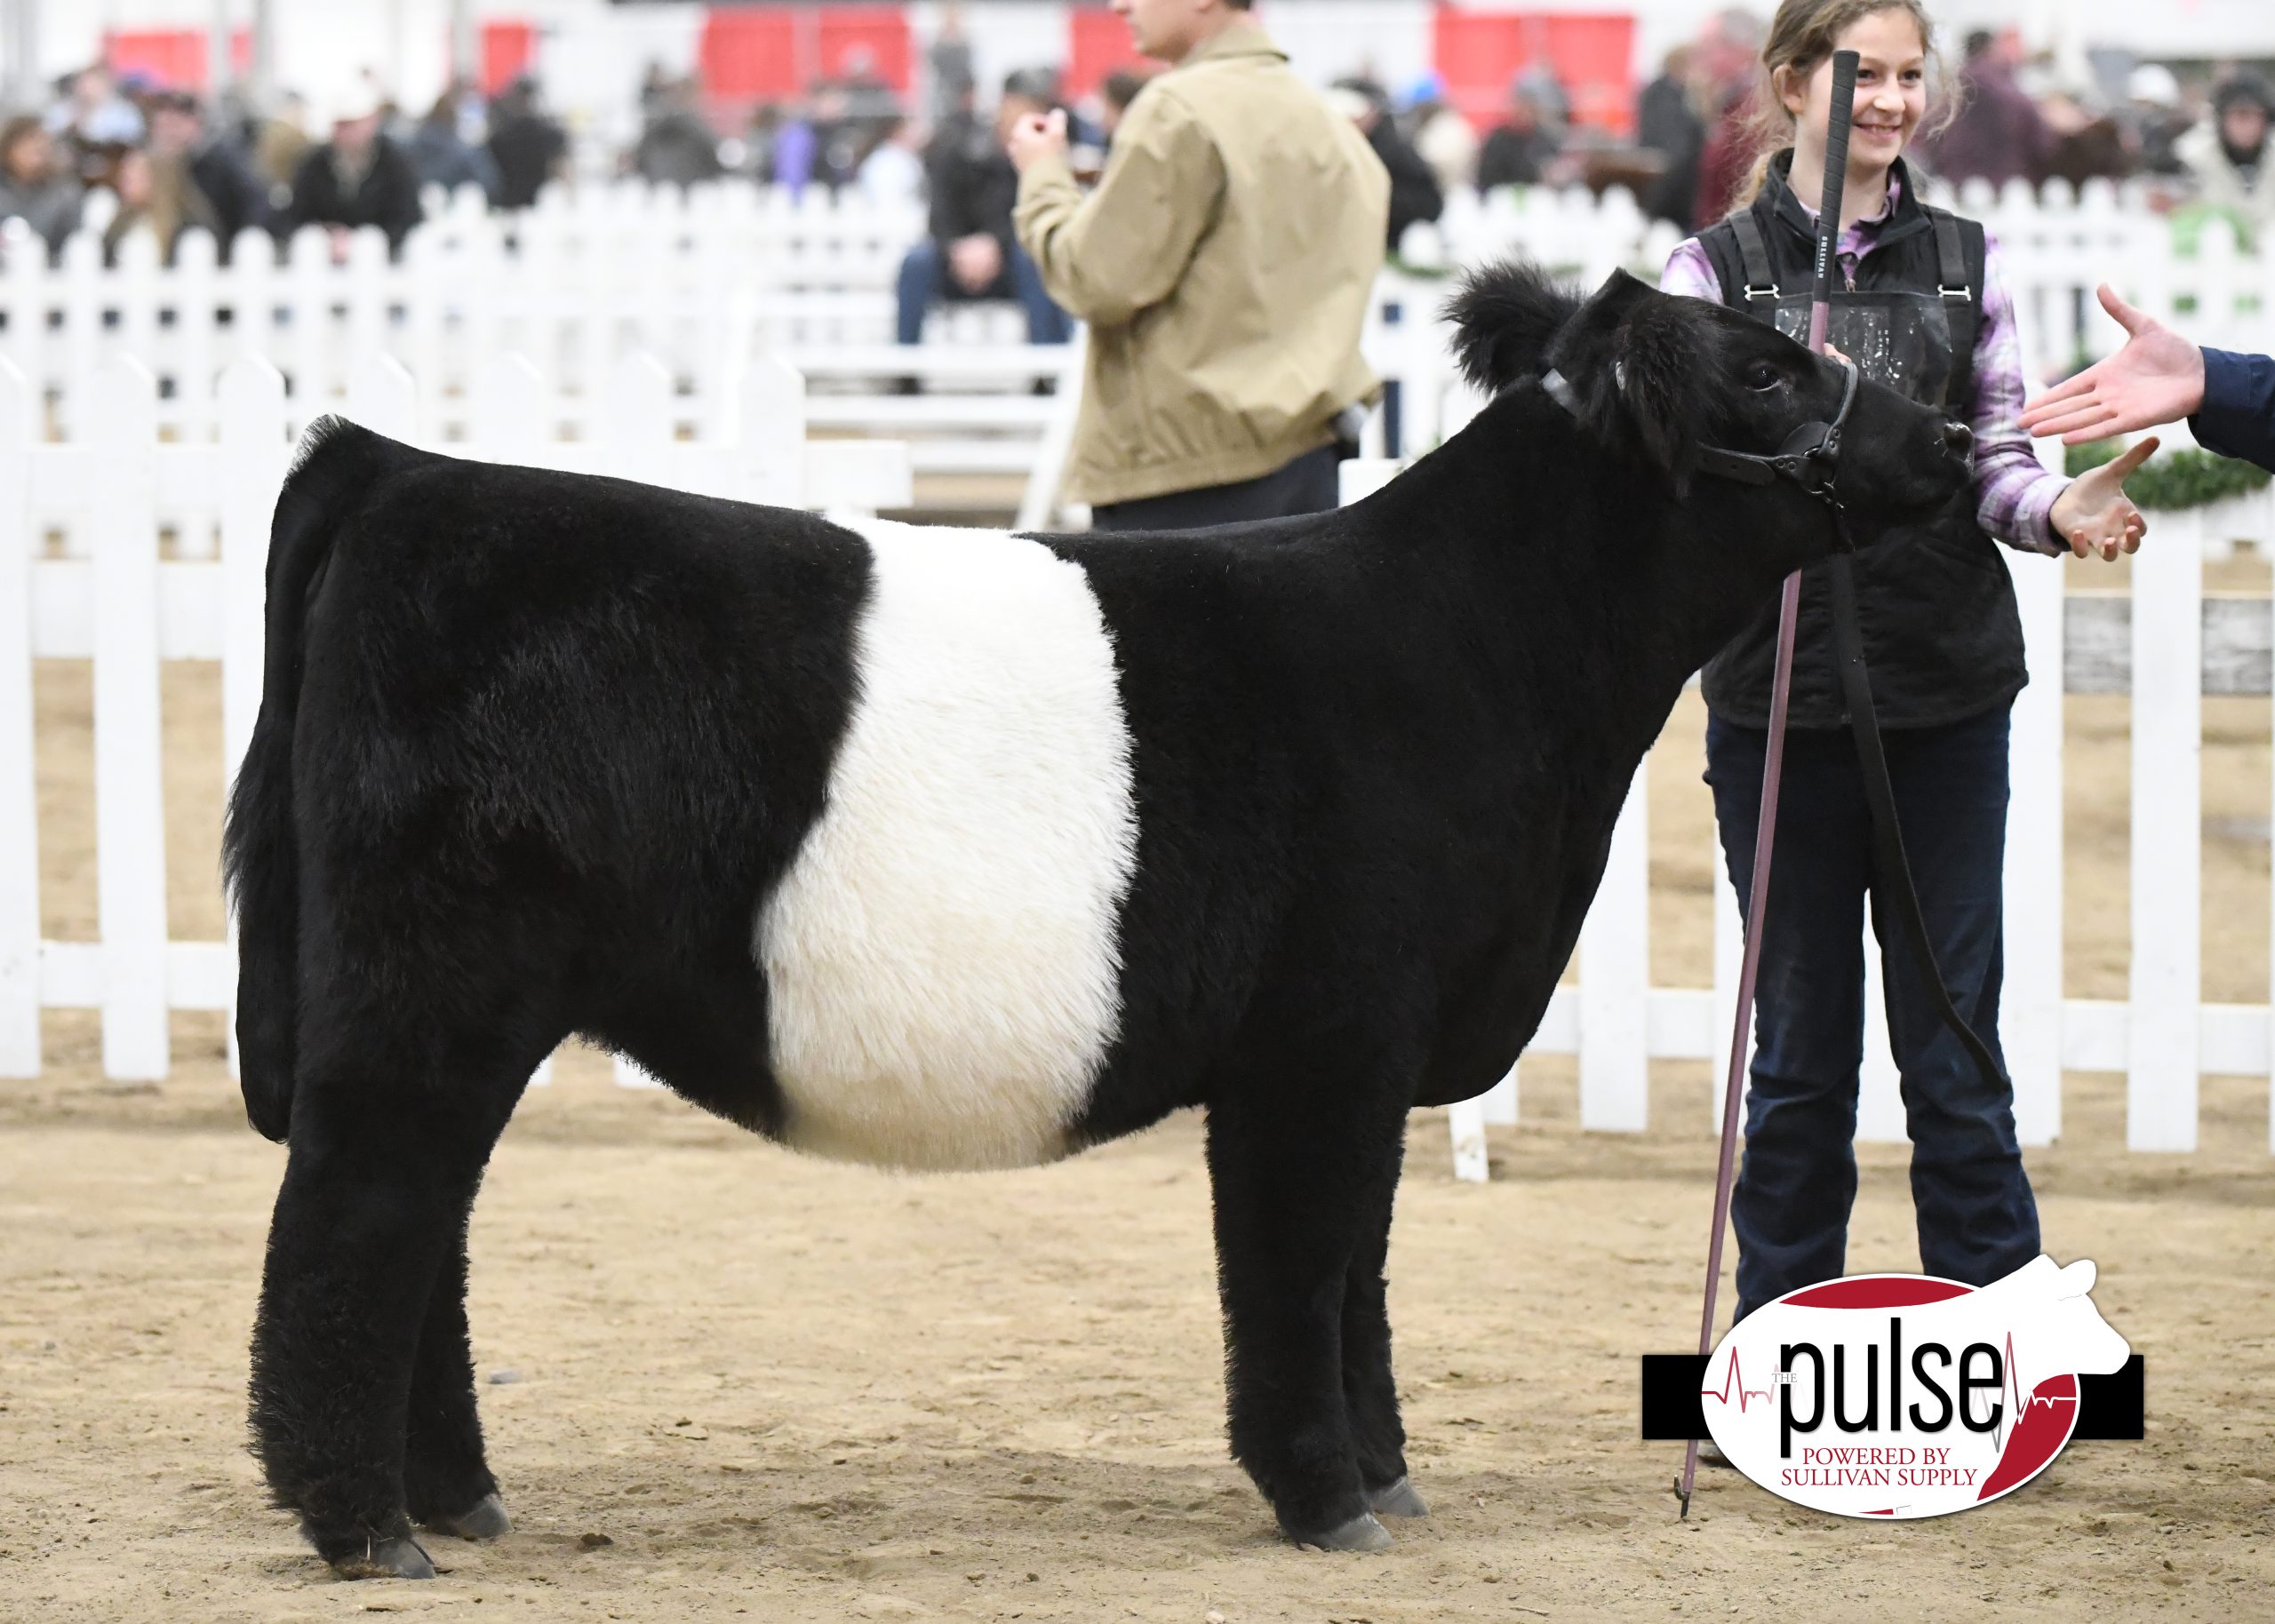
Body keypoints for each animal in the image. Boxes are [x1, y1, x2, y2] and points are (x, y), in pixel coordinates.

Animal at [226, 262, 1975, 1564]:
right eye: (1764, 372)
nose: (1952, 441)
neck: (1481, 647)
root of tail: (402, 473)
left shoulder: (1375, 1050)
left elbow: (1363, 1267)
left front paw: (1389, 1476)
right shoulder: (1321, 1045)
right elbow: (1298, 1267)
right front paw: (1328, 1498)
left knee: (426, 1232)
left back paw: (459, 1497)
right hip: (430, 991)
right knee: (358, 1217)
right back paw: (368, 1528)